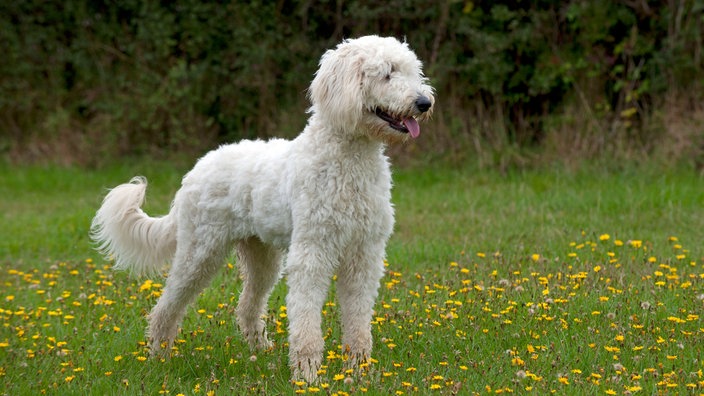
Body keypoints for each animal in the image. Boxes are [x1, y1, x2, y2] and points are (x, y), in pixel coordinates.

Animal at [90, 35, 434, 382]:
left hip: (262, 258)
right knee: (166, 306)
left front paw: (360, 371)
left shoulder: (364, 254)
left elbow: (359, 320)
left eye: (412, 71)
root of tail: (196, 169)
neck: (348, 162)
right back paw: (159, 356)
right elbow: (306, 318)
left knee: (247, 307)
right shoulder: (312, 252)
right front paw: (308, 375)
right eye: (387, 73)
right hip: (199, 253)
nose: (424, 103)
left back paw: (261, 351)